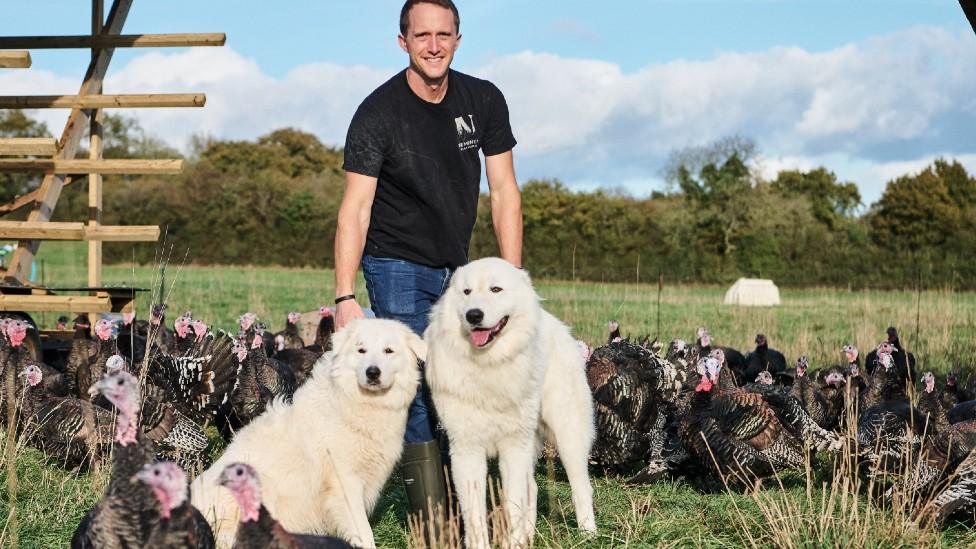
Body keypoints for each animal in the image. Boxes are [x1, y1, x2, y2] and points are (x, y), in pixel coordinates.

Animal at [189, 316, 422, 548]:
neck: (352, 402)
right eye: (361, 350)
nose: (373, 373)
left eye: (388, 351)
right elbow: (364, 533)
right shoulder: (344, 483)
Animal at [426, 258, 596, 548]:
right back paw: (530, 535)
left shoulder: (513, 447)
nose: (473, 315)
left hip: (567, 435)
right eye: (466, 292)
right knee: (533, 488)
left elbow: (512, 504)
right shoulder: (467, 450)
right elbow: (475, 513)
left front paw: (512, 542)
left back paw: (589, 534)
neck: (489, 364)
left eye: (496, 289)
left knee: (581, 486)